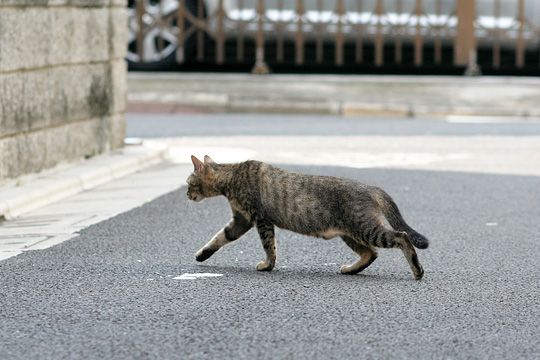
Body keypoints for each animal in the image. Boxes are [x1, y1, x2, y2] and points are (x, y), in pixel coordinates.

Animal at [188, 155, 428, 278]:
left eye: (189, 182)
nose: (187, 194)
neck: (231, 175)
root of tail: (370, 187)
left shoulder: (260, 219)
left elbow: (269, 246)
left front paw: (268, 265)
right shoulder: (241, 220)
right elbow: (219, 237)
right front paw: (202, 255)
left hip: (365, 228)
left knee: (401, 236)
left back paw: (417, 270)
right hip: (350, 233)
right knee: (371, 253)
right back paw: (350, 269)